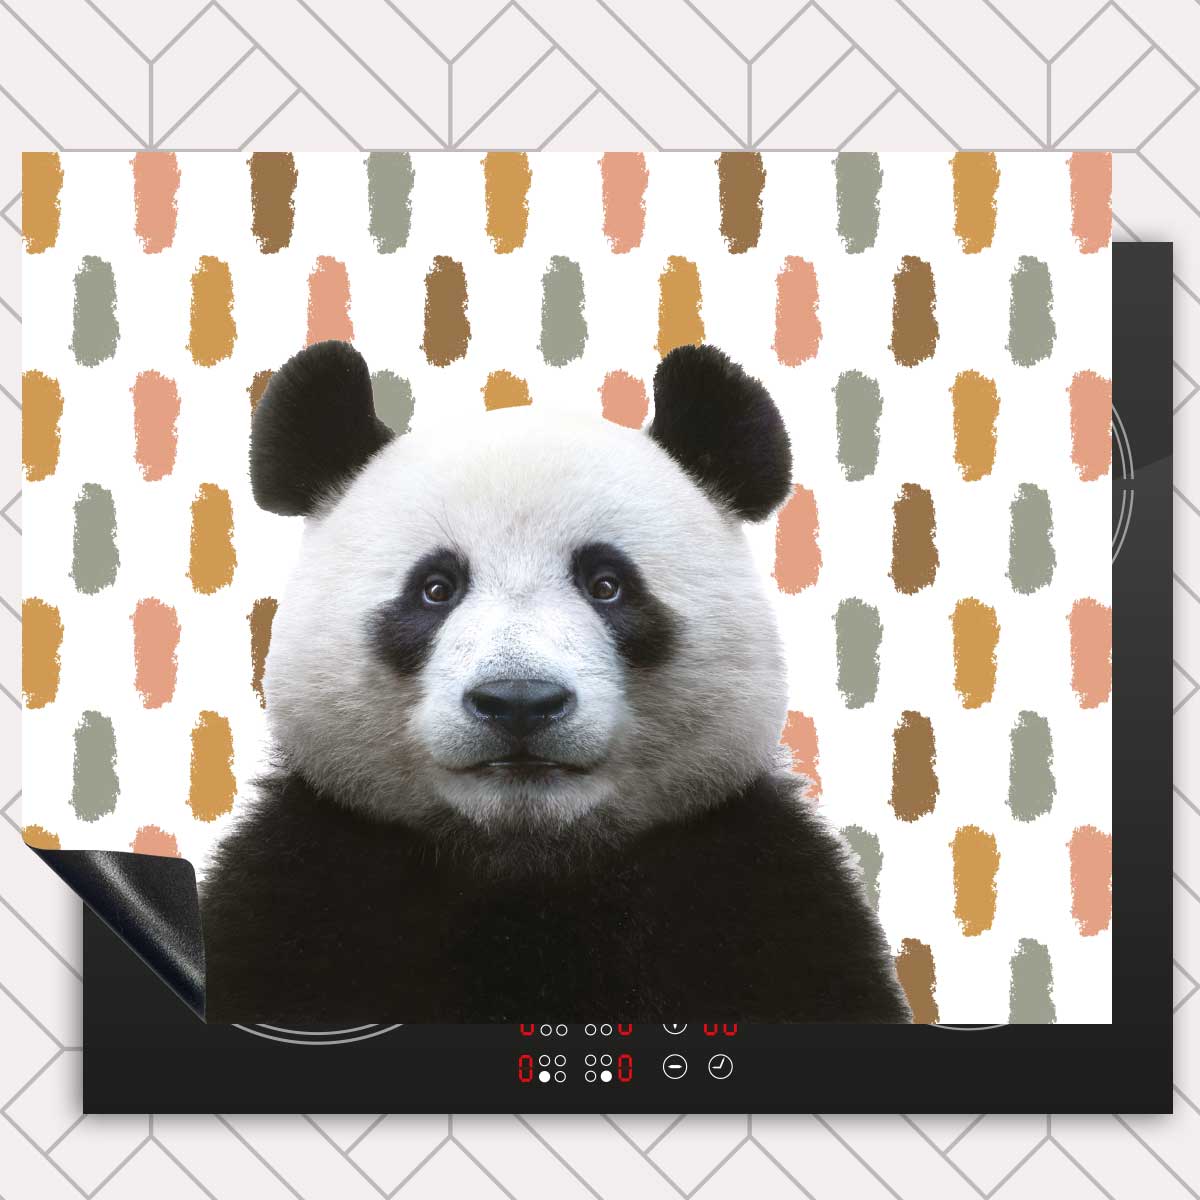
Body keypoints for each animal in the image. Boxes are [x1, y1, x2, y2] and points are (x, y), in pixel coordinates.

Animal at [199, 339, 912, 1025]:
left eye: (607, 585)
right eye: (435, 588)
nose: (519, 702)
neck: (530, 864)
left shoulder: (757, 893)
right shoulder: (303, 889)